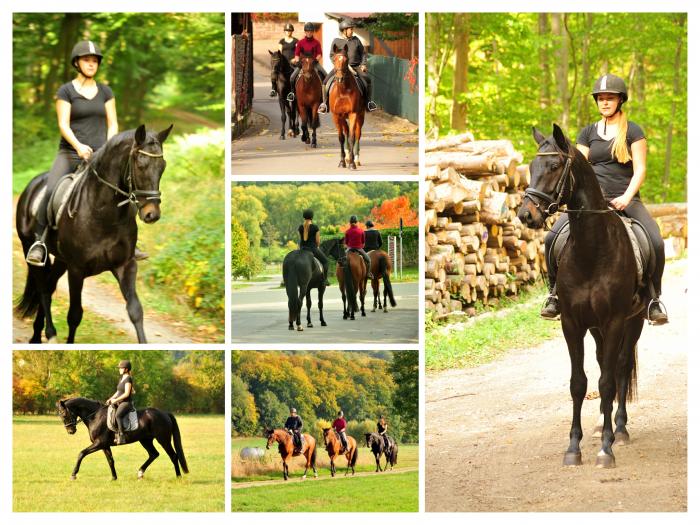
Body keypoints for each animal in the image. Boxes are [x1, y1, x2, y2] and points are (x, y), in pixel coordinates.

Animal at [16, 124, 172, 344]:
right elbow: (74, 315)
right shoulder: (76, 269)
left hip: (61, 260)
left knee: (49, 286)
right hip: (30, 250)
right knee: (43, 289)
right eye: (140, 164)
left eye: (162, 166)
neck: (103, 214)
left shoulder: (125, 265)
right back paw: (49, 334)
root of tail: (33, 185)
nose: (152, 214)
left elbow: (135, 311)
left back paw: (37, 334)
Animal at [56, 398, 189, 478]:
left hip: (163, 439)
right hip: (145, 440)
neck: (95, 416)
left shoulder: (99, 443)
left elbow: (81, 453)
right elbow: (110, 461)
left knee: (173, 456)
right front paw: (114, 478)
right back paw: (140, 472)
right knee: (154, 454)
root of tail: (165, 413)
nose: (71, 431)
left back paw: (178, 476)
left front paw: (73, 474)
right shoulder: (104, 445)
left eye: (64, 414)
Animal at [516, 125, 644, 468]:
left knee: (620, 368)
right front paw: (574, 447)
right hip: (596, 328)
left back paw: (619, 429)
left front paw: (606, 449)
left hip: (634, 320)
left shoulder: (614, 321)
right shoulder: (572, 323)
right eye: (531, 167)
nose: (526, 214)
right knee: (603, 364)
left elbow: (608, 382)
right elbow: (579, 383)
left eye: (554, 166)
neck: (592, 249)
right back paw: (603, 423)